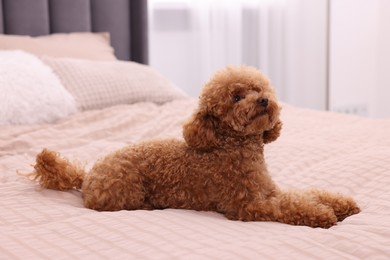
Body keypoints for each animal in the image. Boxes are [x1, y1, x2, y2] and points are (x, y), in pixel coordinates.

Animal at [30, 65, 360, 228]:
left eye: (258, 89)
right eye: (236, 97)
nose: (265, 100)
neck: (233, 147)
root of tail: (87, 177)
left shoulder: (269, 190)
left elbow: (307, 193)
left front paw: (341, 203)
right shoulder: (248, 205)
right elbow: (292, 206)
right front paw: (323, 216)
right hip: (126, 188)